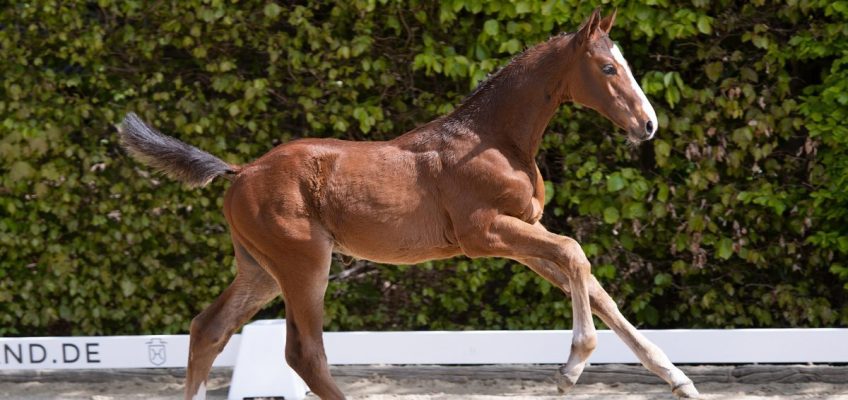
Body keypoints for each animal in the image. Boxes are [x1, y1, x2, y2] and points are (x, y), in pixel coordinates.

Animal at [122, 8, 700, 400]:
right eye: (608, 68)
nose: (648, 125)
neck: (494, 138)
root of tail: (241, 171)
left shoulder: (522, 235)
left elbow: (596, 289)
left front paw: (678, 379)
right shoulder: (485, 233)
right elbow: (577, 253)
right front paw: (572, 368)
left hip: (260, 269)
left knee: (209, 328)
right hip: (303, 263)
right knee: (303, 353)